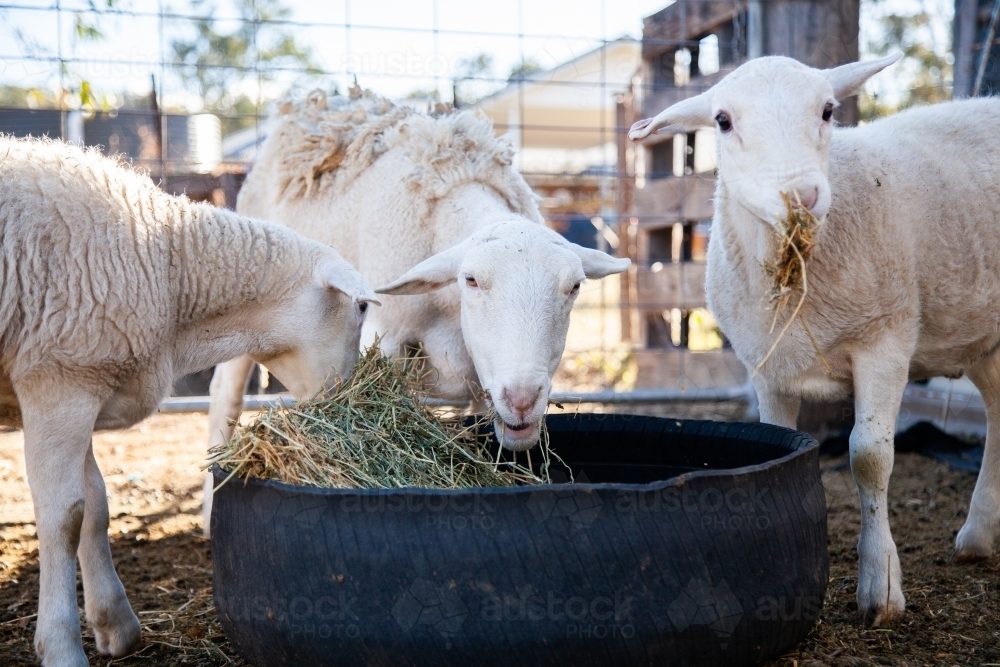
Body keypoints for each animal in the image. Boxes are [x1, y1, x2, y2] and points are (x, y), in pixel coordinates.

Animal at [0, 137, 378, 667]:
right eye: (361, 306)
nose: (350, 395)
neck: (171, 266)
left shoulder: (85, 383)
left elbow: (96, 504)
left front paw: (115, 625)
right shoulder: (57, 383)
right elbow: (64, 517)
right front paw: (61, 646)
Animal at [628, 54, 1000, 628]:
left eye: (827, 110)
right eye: (722, 121)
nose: (801, 197)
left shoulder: (885, 340)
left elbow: (869, 458)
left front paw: (880, 587)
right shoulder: (766, 364)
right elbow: (773, 443)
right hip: (981, 336)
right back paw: (979, 536)